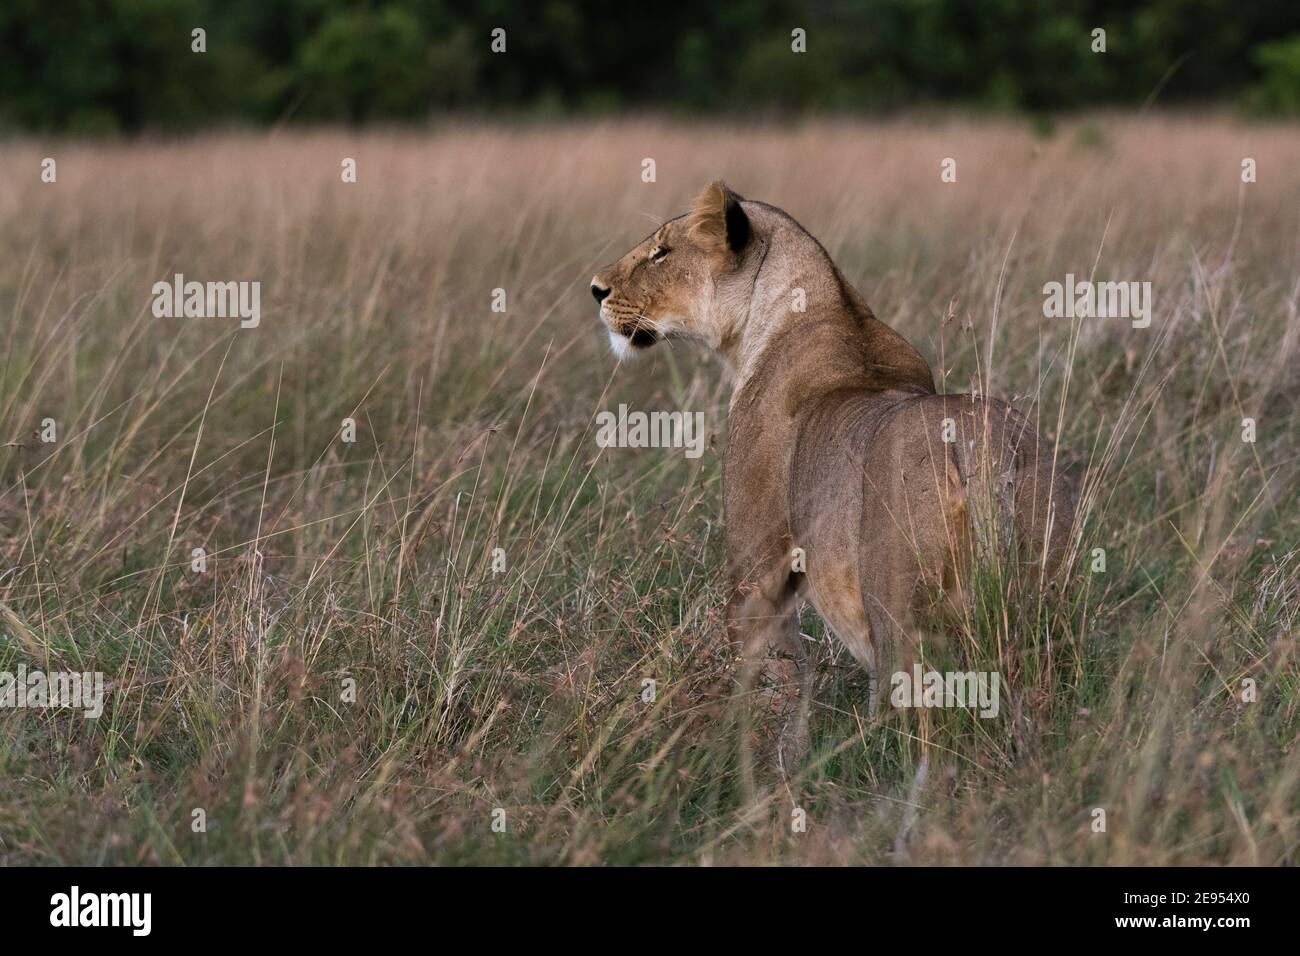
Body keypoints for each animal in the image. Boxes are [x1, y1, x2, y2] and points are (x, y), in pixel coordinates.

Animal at [591, 181, 1074, 775]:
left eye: (662, 252)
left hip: (901, 617)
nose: (597, 289)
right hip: (1042, 600)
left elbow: (774, 675)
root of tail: (978, 443)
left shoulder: (758, 564)